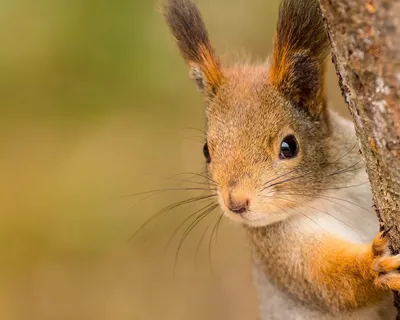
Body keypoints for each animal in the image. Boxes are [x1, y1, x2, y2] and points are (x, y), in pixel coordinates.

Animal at [162, 0, 400, 318]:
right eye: (206, 151)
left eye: (289, 146)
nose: (236, 203)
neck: (327, 193)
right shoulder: (282, 253)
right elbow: (332, 284)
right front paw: (375, 264)